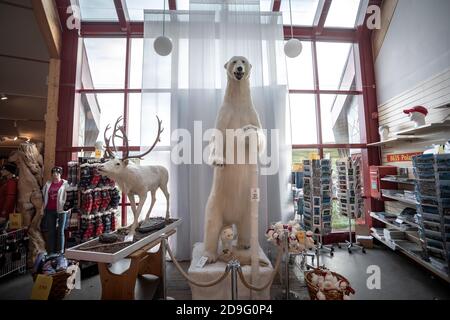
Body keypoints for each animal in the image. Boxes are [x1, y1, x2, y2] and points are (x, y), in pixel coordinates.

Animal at [203, 55, 266, 262]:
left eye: (244, 61)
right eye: (233, 61)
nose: (239, 69)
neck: (238, 103)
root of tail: (229, 219)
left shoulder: (251, 113)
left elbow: (260, 136)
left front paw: (249, 132)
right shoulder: (224, 115)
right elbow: (217, 137)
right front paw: (219, 160)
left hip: (248, 207)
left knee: (246, 225)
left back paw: (245, 244)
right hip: (214, 204)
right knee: (211, 226)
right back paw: (209, 255)